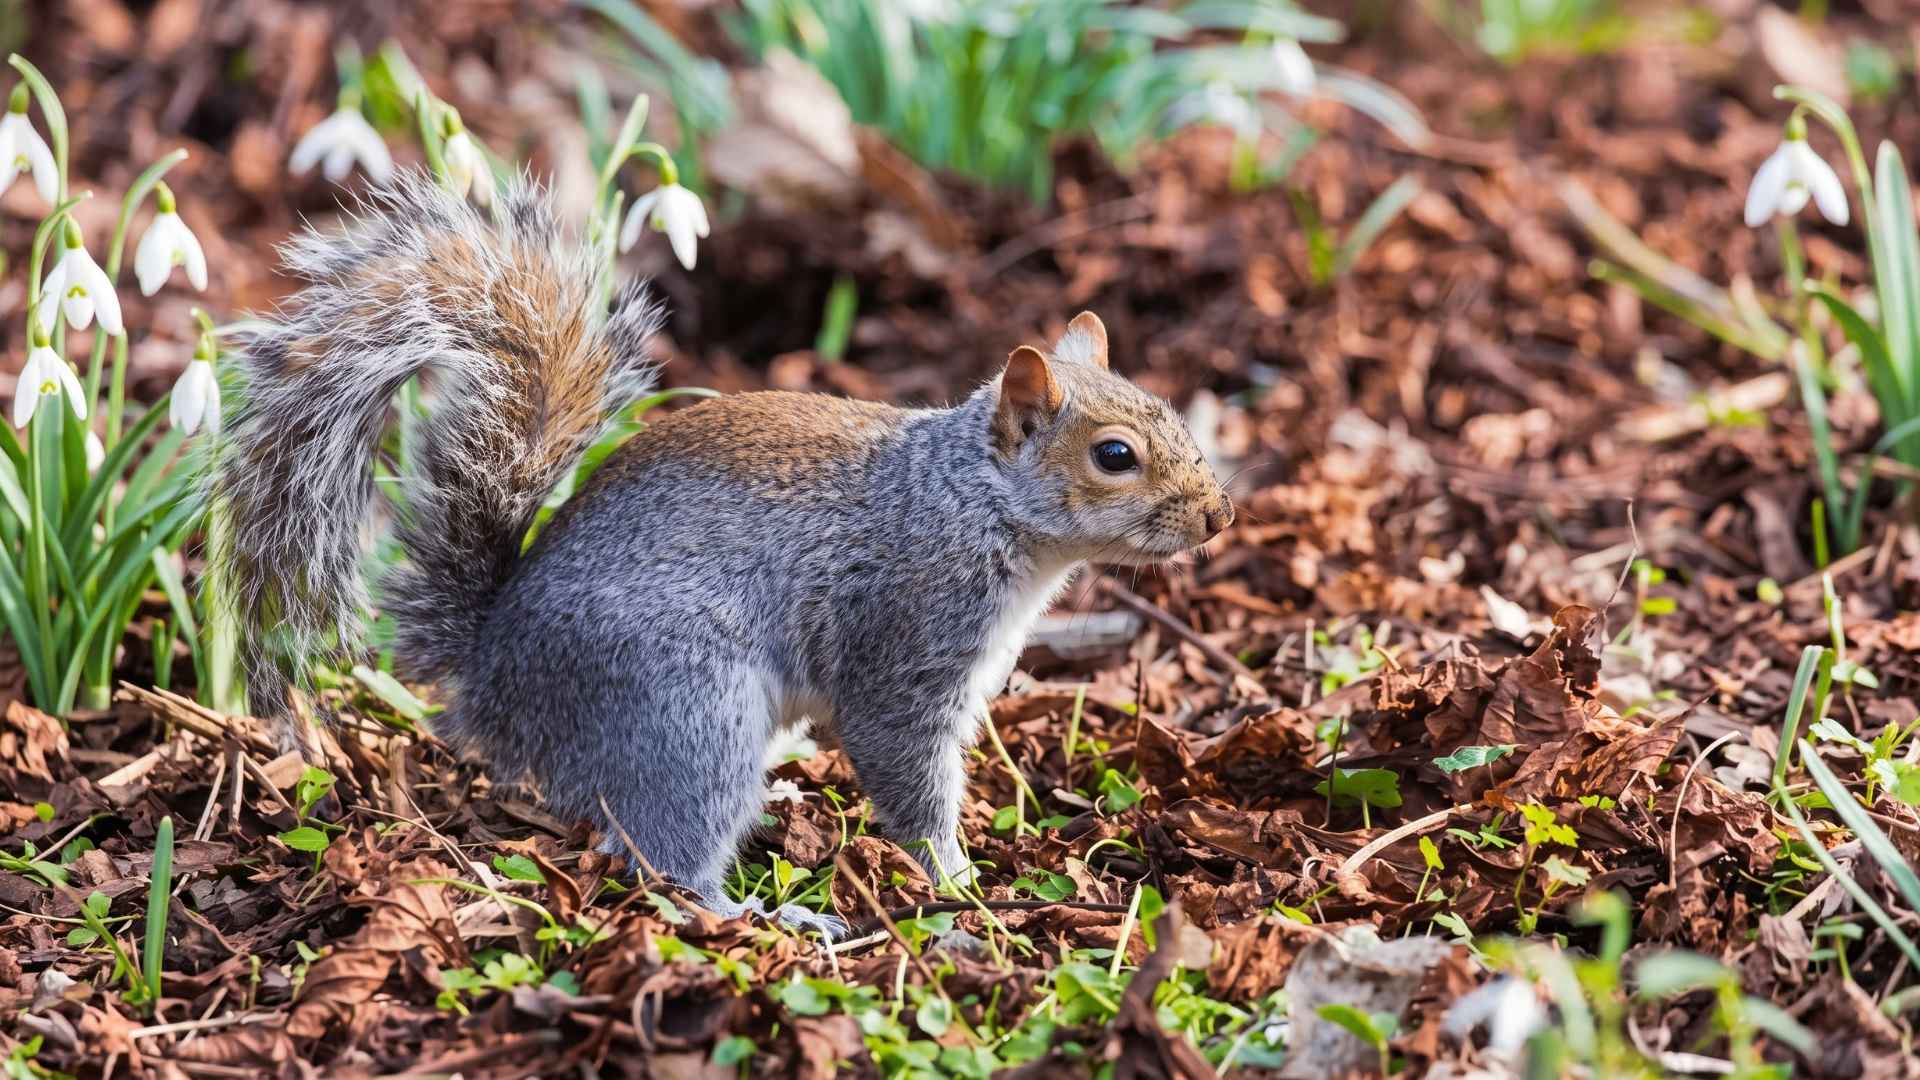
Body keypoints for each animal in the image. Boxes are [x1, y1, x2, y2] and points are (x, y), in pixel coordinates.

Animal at [211, 172, 1233, 936]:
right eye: (1114, 456)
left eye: (1168, 409)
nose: (1219, 515)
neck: (970, 502)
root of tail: (496, 680)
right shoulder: (905, 639)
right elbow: (904, 766)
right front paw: (956, 881)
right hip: (687, 712)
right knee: (663, 863)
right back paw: (758, 914)